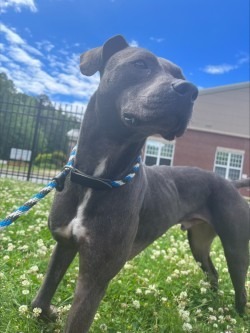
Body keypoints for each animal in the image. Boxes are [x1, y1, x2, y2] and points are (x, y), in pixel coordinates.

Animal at [31, 35, 250, 330]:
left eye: (181, 76)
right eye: (140, 64)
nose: (190, 90)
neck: (97, 177)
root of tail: (230, 183)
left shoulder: (95, 276)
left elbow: (76, 321)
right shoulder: (64, 243)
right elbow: (46, 288)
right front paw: (42, 315)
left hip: (236, 246)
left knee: (240, 287)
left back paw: (235, 316)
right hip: (199, 240)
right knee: (213, 272)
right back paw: (212, 303)